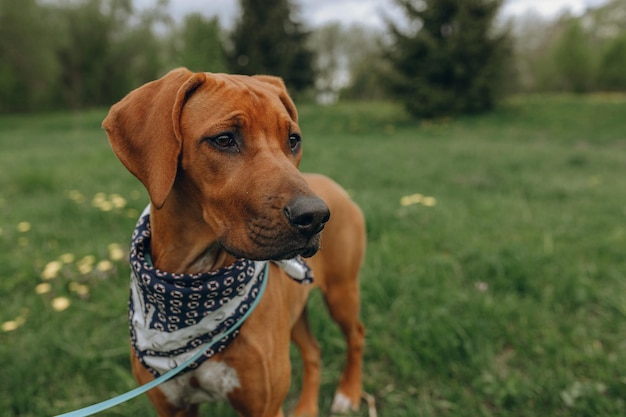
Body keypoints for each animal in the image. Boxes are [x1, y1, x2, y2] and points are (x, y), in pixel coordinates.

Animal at [102, 69, 366, 416]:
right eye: (224, 139)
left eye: (292, 140)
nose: (315, 216)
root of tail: (338, 189)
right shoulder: (174, 407)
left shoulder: (264, 407)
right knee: (313, 350)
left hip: (341, 291)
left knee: (356, 336)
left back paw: (348, 393)